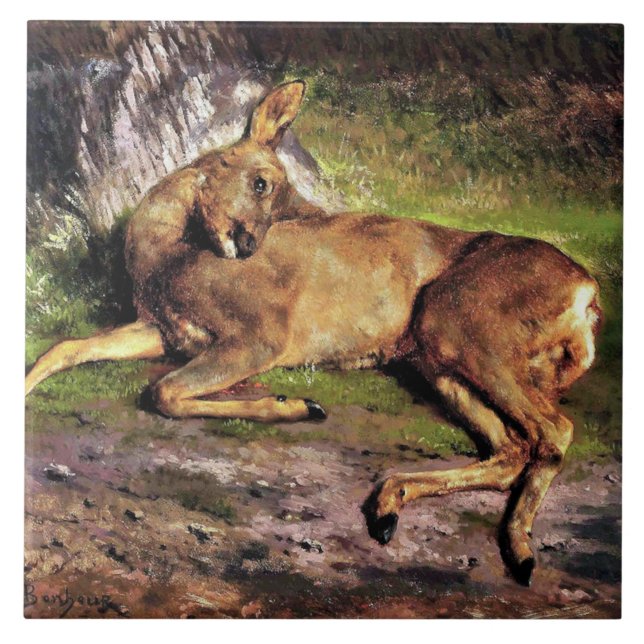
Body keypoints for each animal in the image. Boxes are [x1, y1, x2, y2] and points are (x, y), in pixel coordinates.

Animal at [26, 81, 602, 586]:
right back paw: (389, 506)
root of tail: (587, 292)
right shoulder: (162, 329)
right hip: (436, 357)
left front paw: (294, 404)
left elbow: (163, 391)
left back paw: (520, 552)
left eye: (274, 196)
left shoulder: (261, 335)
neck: (167, 260)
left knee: (553, 430)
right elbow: (69, 347)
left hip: (464, 321)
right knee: (510, 446)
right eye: (261, 183)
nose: (248, 245)